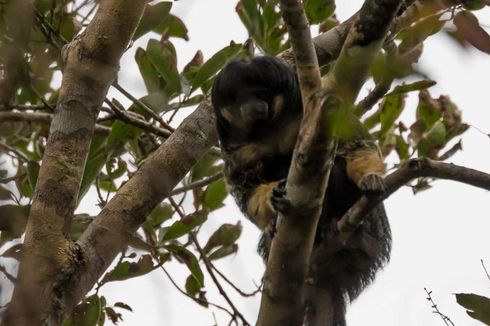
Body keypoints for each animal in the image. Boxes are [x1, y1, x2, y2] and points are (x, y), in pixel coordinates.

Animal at [210, 56, 390, 326]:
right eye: (241, 99)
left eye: (260, 93)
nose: (254, 107)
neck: (269, 129)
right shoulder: (237, 149)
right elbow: (246, 192)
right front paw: (272, 201)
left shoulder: (323, 112)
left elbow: (358, 146)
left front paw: (370, 178)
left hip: (371, 240)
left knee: (335, 168)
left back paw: (335, 226)